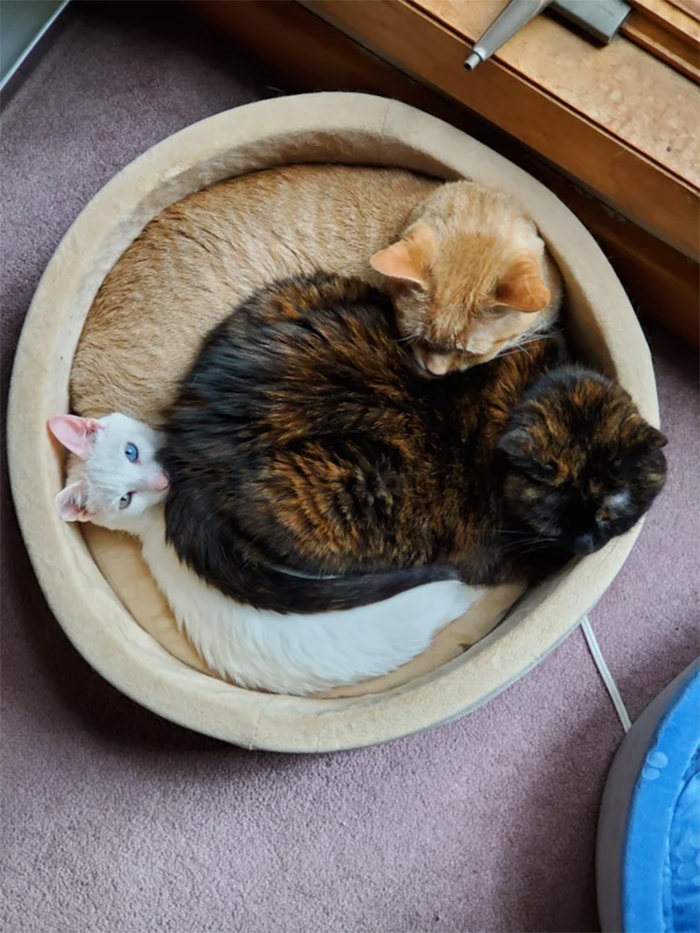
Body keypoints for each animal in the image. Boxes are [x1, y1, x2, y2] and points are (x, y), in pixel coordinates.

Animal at [160, 274, 668, 616]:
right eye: (553, 512)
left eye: (609, 509)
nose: (586, 543)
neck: (529, 386)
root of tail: (185, 443)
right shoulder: (496, 558)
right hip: (355, 484)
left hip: (305, 292)